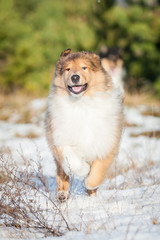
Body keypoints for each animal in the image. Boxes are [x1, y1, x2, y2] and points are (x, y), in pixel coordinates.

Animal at [45, 49, 123, 202]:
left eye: (84, 67)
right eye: (68, 69)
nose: (75, 77)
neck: (81, 102)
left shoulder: (106, 143)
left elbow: (97, 172)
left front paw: (89, 184)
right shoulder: (60, 138)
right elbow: (71, 160)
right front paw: (83, 169)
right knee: (62, 174)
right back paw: (62, 195)